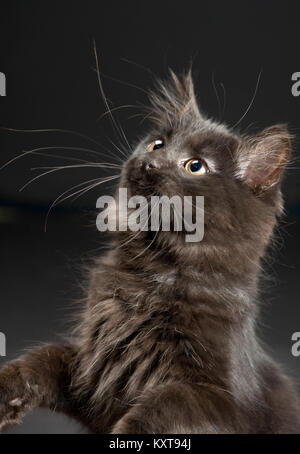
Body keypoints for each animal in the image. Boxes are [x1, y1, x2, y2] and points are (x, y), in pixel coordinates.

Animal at [0, 71, 300, 432]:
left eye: (195, 166)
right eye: (157, 144)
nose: (149, 163)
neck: (153, 274)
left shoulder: (220, 400)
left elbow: (163, 404)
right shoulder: (93, 370)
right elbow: (43, 358)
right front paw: (5, 393)